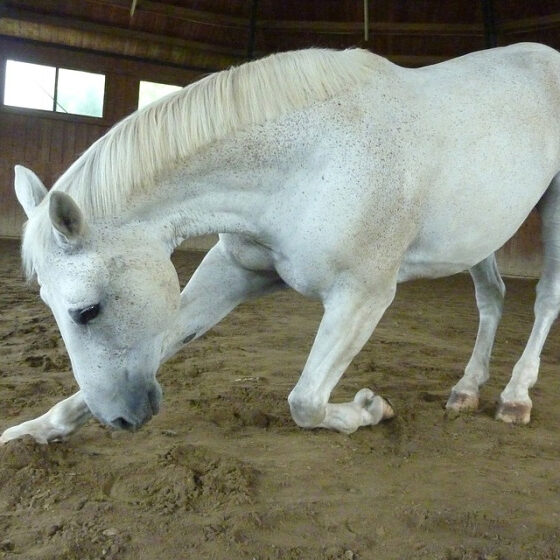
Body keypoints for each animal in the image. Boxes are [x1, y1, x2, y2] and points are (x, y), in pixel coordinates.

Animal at [1, 43, 560, 444]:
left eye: (86, 311)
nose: (120, 418)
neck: (312, 160)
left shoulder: (364, 295)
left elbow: (305, 403)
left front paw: (370, 409)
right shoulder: (237, 270)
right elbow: (165, 339)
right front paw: (34, 431)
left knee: (544, 302)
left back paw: (515, 397)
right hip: (479, 234)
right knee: (491, 298)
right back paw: (467, 389)